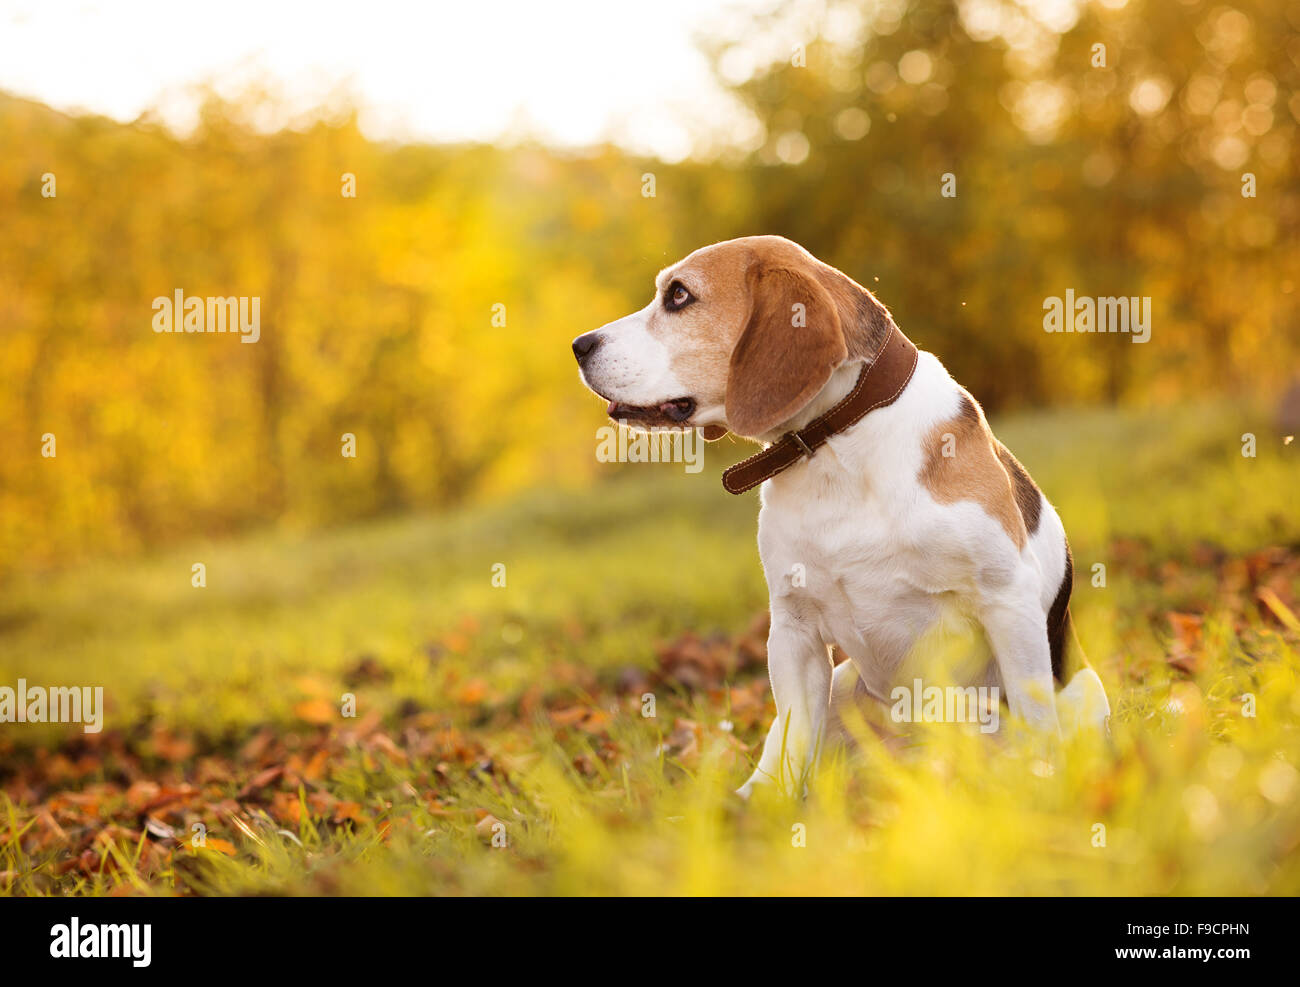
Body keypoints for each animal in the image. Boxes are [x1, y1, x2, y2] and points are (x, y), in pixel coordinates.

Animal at [572, 235, 1107, 801]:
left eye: (678, 295)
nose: (579, 346)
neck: (834, 445)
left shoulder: (1006, 599)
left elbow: (1034, 717)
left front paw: (1041, 787)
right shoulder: (794, 627)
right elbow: (790, 735)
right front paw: (765, 803)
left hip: (1081, 696)